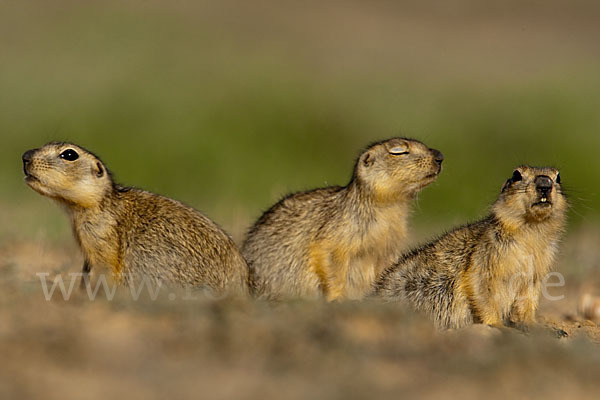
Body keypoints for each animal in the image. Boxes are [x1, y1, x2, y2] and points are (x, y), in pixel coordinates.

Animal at [241, 139, 442, 302]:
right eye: (399, 151)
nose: (440, 155)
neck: (390, 207)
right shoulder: (340, 229)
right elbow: (329, 258)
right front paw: (337, 298)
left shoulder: (390, 245)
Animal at [376, 165, 568, 328]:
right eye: (516, 175)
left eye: (558, 177)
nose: (545, 184)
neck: (532, 231)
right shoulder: (487, 253)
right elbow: (481, 287)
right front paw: (498, 325)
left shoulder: (537, 268)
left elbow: (528, 298)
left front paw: (538, 327)